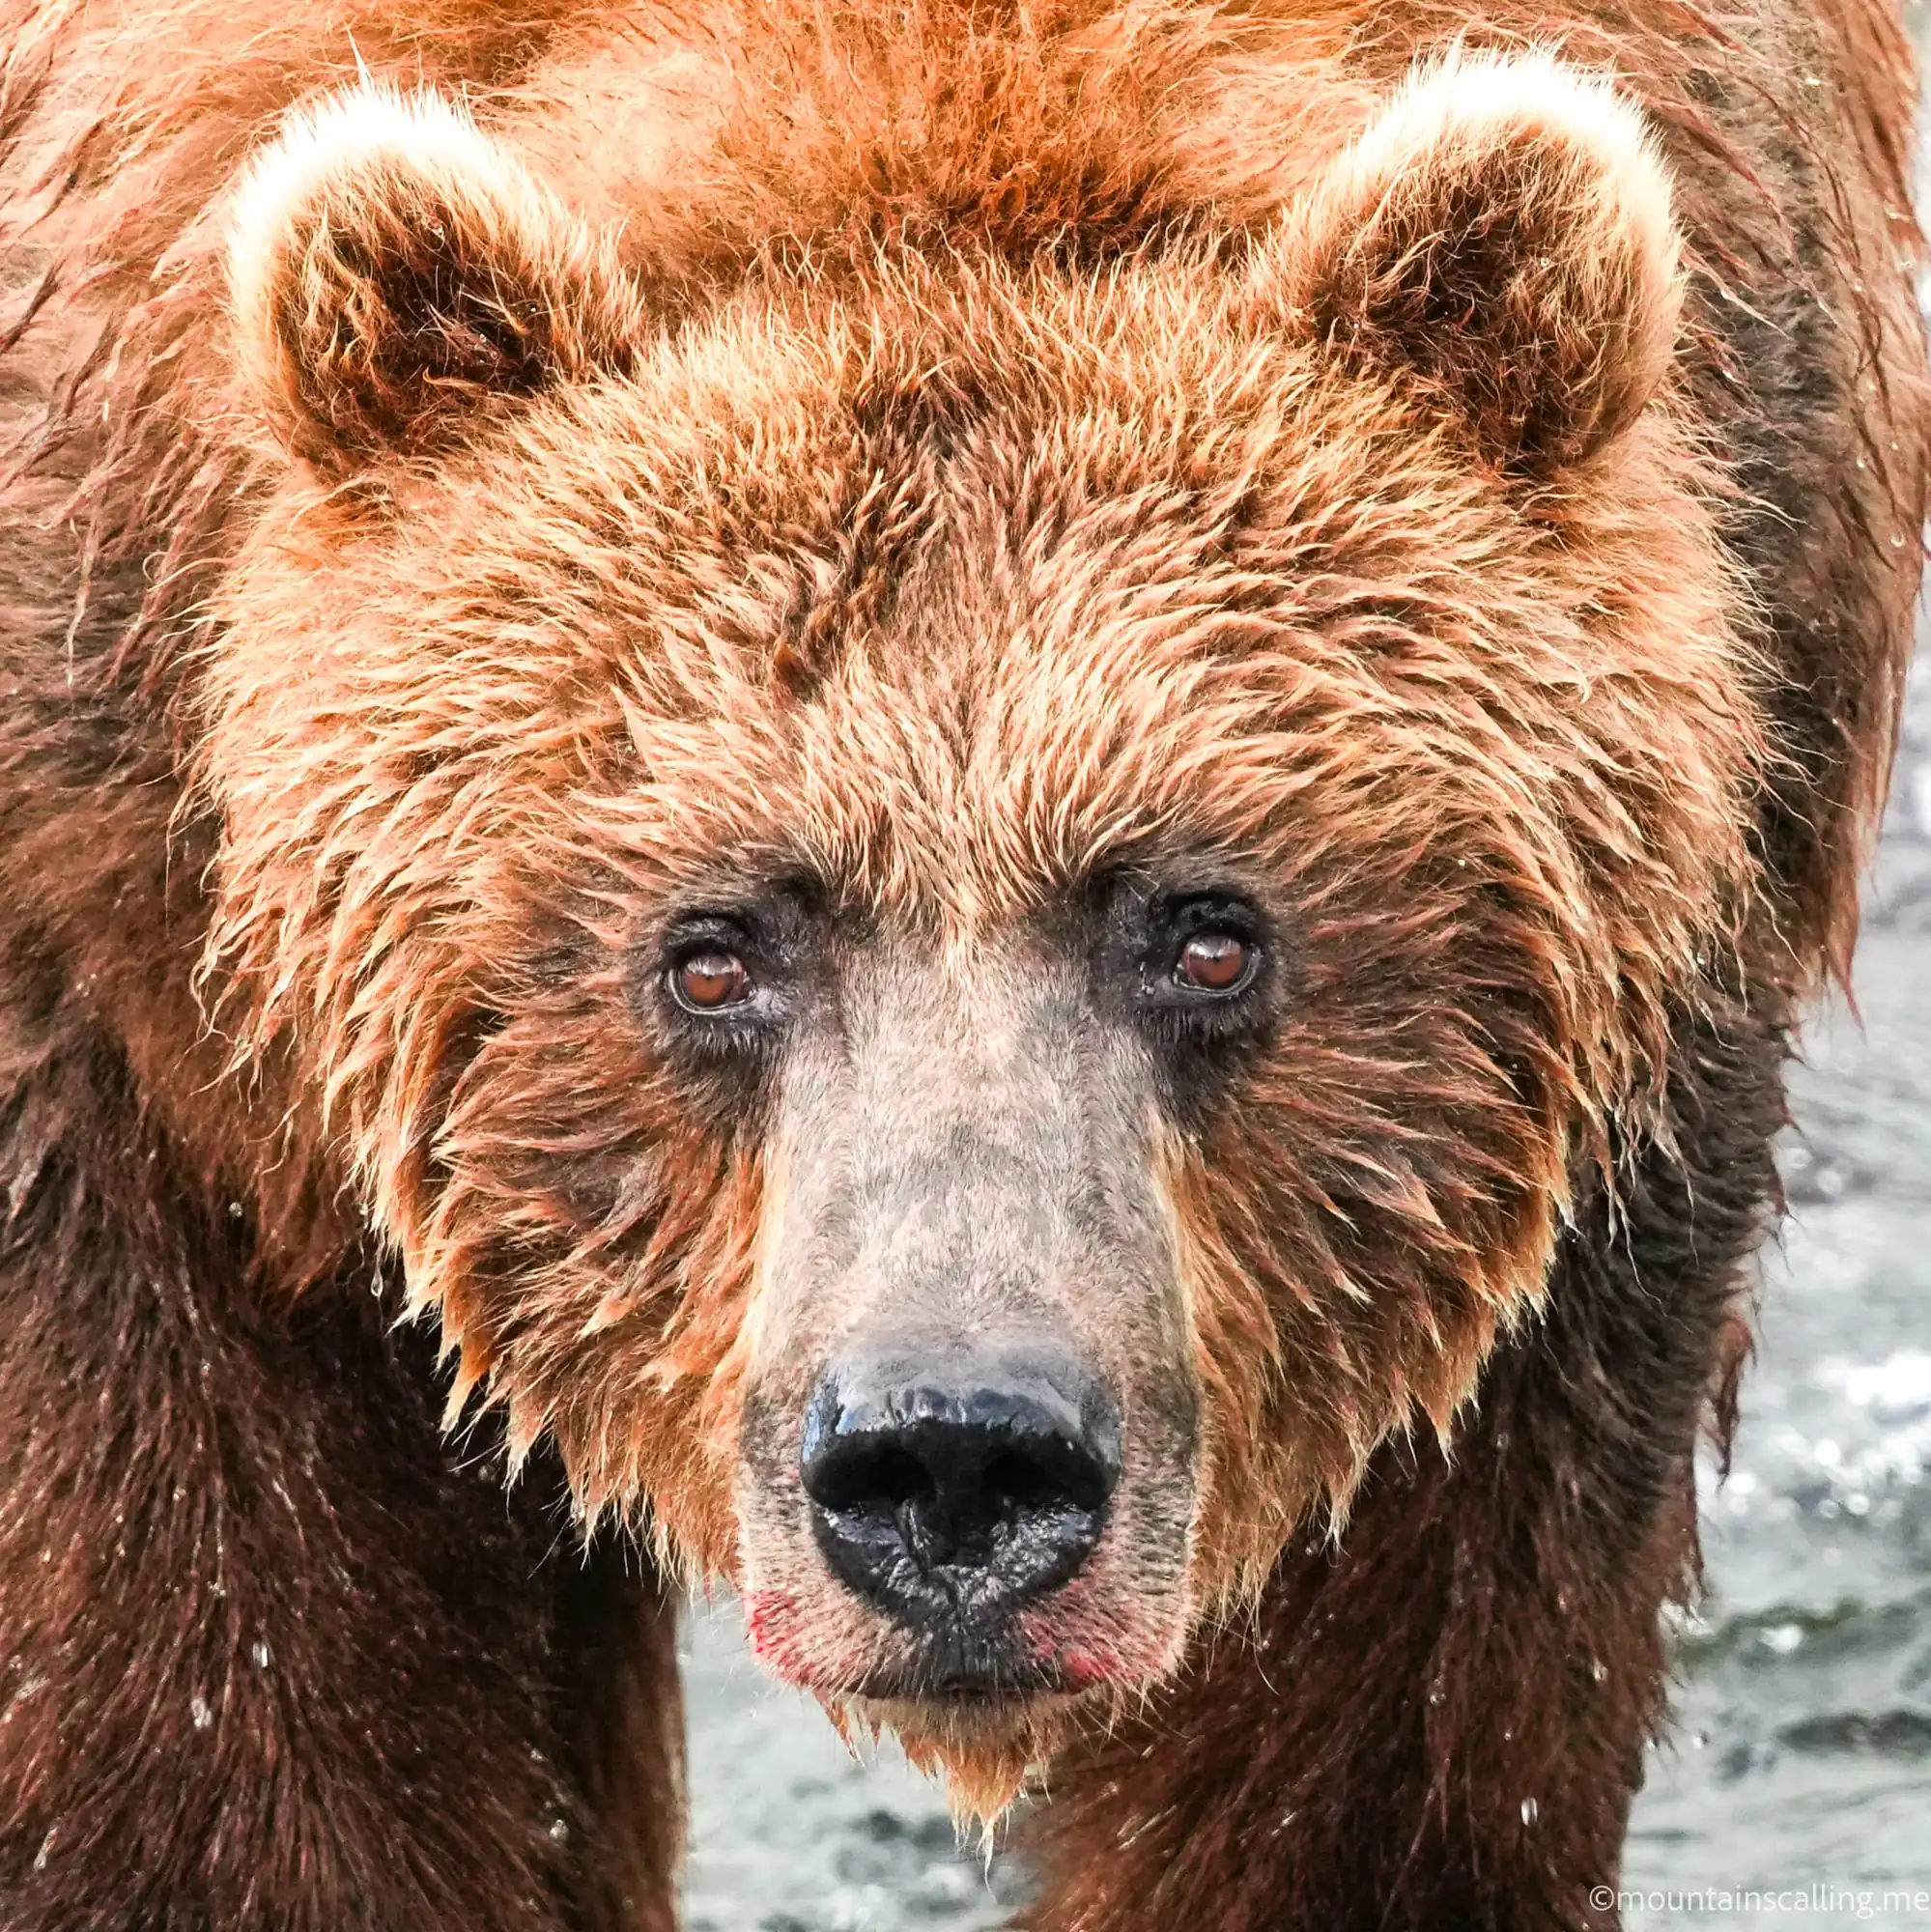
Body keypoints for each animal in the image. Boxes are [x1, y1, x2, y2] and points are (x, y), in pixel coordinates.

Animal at [0, 0, 1925, 1926]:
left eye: (1208, 933)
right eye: (708, 952)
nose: (951, 1457)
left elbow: (1387, 1722)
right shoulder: (130, 958)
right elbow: (218, 1667)